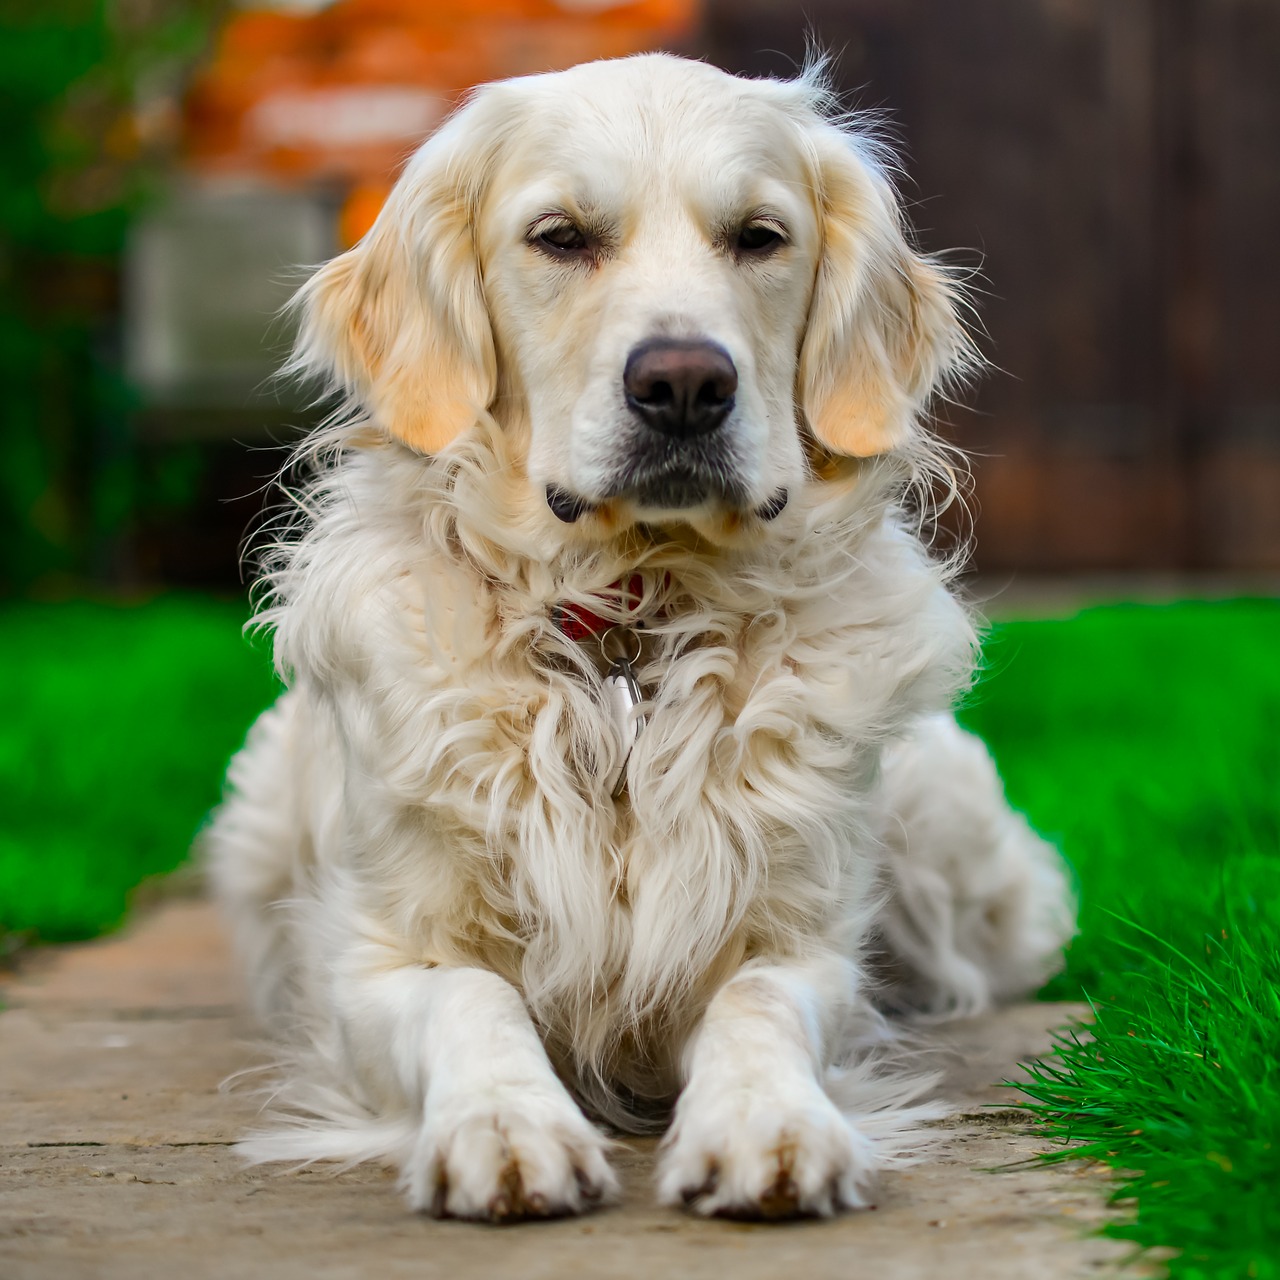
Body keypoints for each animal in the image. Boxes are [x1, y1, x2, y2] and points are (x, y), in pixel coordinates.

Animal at [204, 55, 1075, 1223]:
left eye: (759, 236)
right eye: (560, 236)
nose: (684, 384)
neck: (629, 624)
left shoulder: (801, 943)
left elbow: (760, 1003)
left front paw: (768, 1124)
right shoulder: (376, 957)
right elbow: (470, 999)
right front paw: (503, 1128)